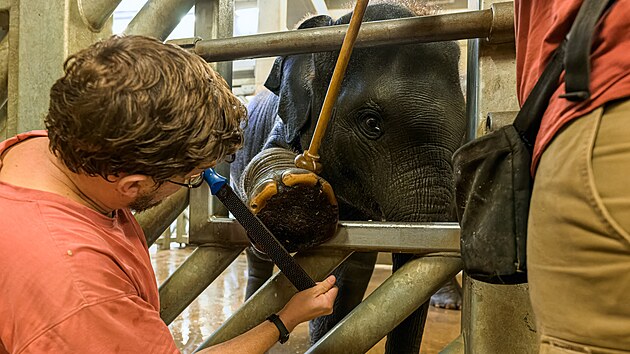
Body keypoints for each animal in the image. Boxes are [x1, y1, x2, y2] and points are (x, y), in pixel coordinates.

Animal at [232, 2, 470, 352]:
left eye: (463, 133)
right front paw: (290, 203)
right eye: (371, 123)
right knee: (254, 256)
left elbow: (355, 268)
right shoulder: (287, 118)